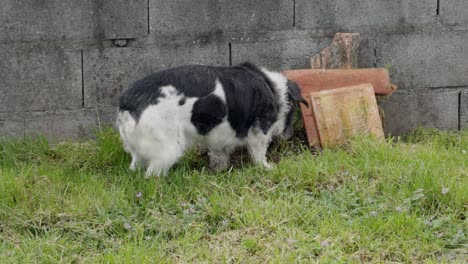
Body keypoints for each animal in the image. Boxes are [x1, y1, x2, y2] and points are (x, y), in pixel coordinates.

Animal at [117, 62, 308, 176]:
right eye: (293, 111)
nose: (289, 135)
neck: (272, 88)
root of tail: (127, 103)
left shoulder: (219, 137)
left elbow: (219, 156)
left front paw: (218, 170)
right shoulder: (259, 133)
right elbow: (259, 154)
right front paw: (266, 167)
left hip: (138, 151)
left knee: (135, 166)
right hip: (167, 149)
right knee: (151, 175)